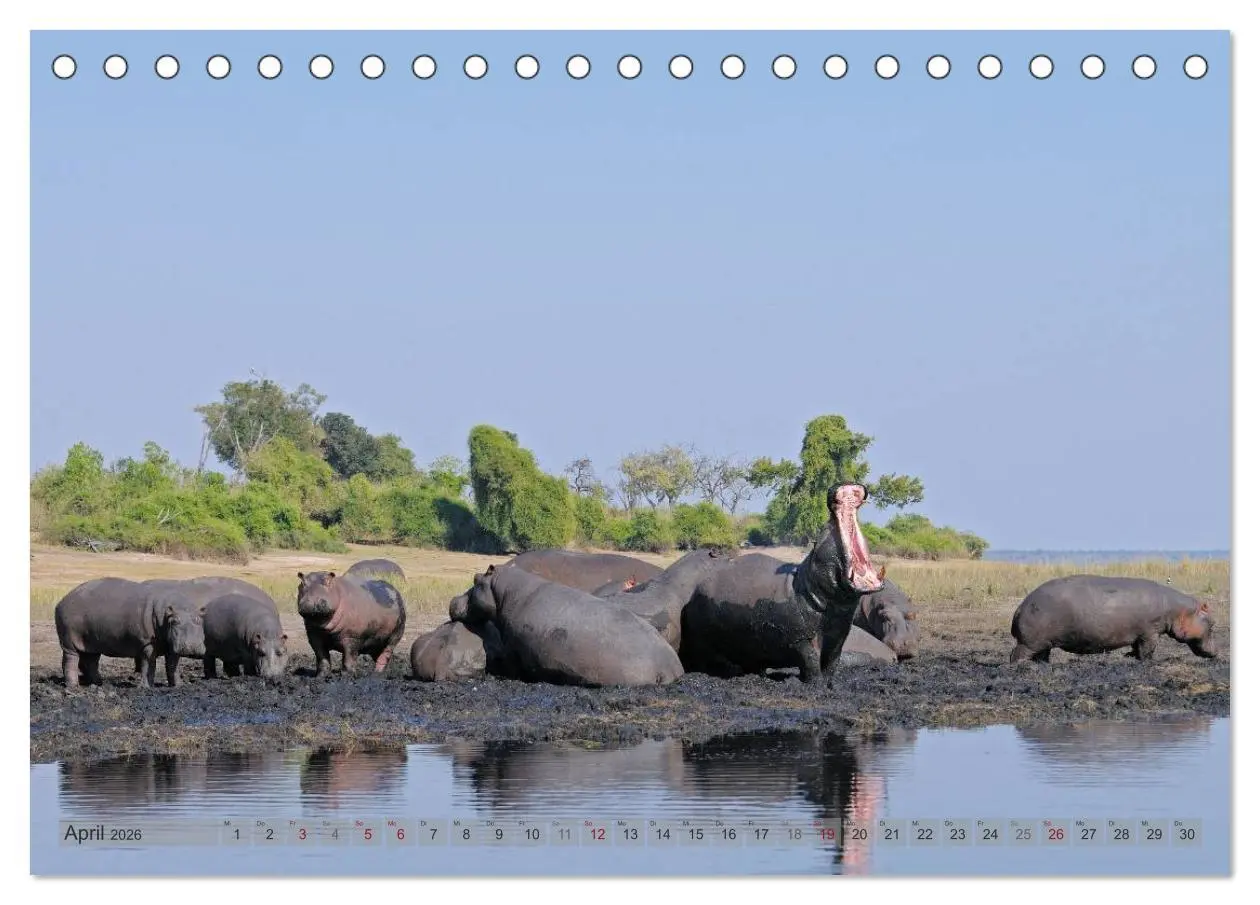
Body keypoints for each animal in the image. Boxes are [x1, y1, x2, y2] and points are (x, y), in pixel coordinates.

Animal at [54, 577, 207, 688]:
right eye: (174, 621)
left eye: (199, 619)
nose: (192, 646)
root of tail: (62, 600)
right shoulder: (147, 643)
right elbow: (148, 664)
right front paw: (146, 687)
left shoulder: (171, 645)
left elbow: (172, 665)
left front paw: (179, 686)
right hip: (69, 640)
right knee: (70, 660)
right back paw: (73, 687)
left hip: (92, 641)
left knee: (90, 661)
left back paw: (98, 683)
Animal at [679, 484, 885, 682]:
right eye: (822, 531)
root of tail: (693, 594)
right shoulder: (801, 640)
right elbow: (811, 662)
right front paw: (815, 684)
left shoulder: (838, 637)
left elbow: (832, 664)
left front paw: (828, 684)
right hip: (706, 643)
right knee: (712, 661)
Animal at [1009, 575, 1218, 663]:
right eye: (1213, 623)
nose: (1217, 652)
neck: (1178, 610)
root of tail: (1020, 608)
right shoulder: (1150, 632)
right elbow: (1148, 650)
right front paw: (1148, 662)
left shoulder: (1140, 634)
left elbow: (1136, 647)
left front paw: (1130, 656)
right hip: (1030, 642)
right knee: (1016, 655)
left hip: (1043, 643)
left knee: (1042, 656)